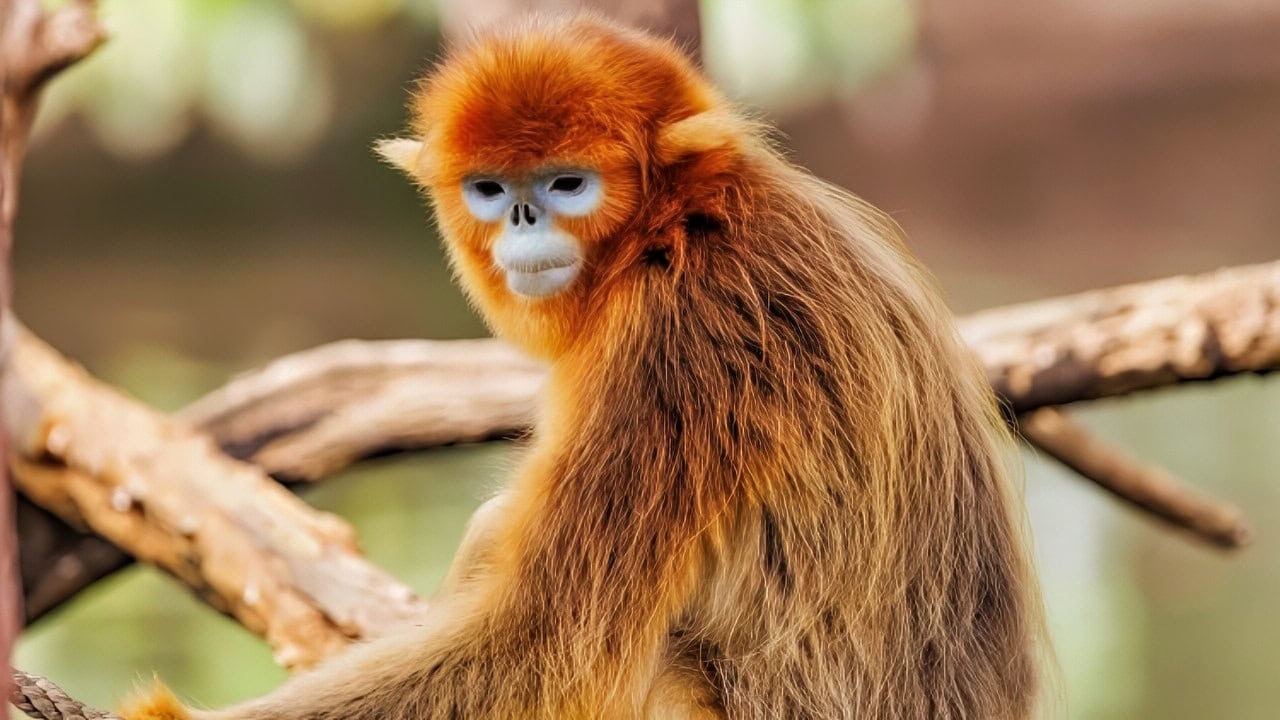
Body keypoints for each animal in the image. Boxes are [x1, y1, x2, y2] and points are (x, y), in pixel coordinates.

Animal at [121, 14, 1045, 720]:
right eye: (492, 188)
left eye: (567, 184)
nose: (524, 217)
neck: (684, 230)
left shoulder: (675, 348)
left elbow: (537, 640)